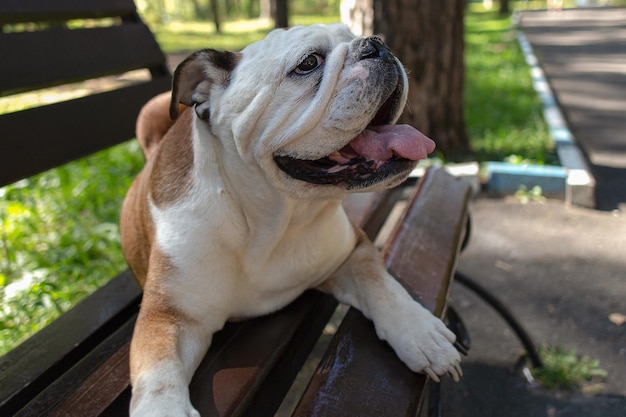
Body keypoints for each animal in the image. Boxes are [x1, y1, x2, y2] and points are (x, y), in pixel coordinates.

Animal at [122, 23, 460, 416]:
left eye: (354, 35)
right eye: (308, 63)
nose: (377, 45)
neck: (268, 223)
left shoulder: (353, 252)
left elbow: (381, 286)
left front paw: (421, 332)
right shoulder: (167, 316)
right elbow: (159, 374)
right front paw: (165, 409)